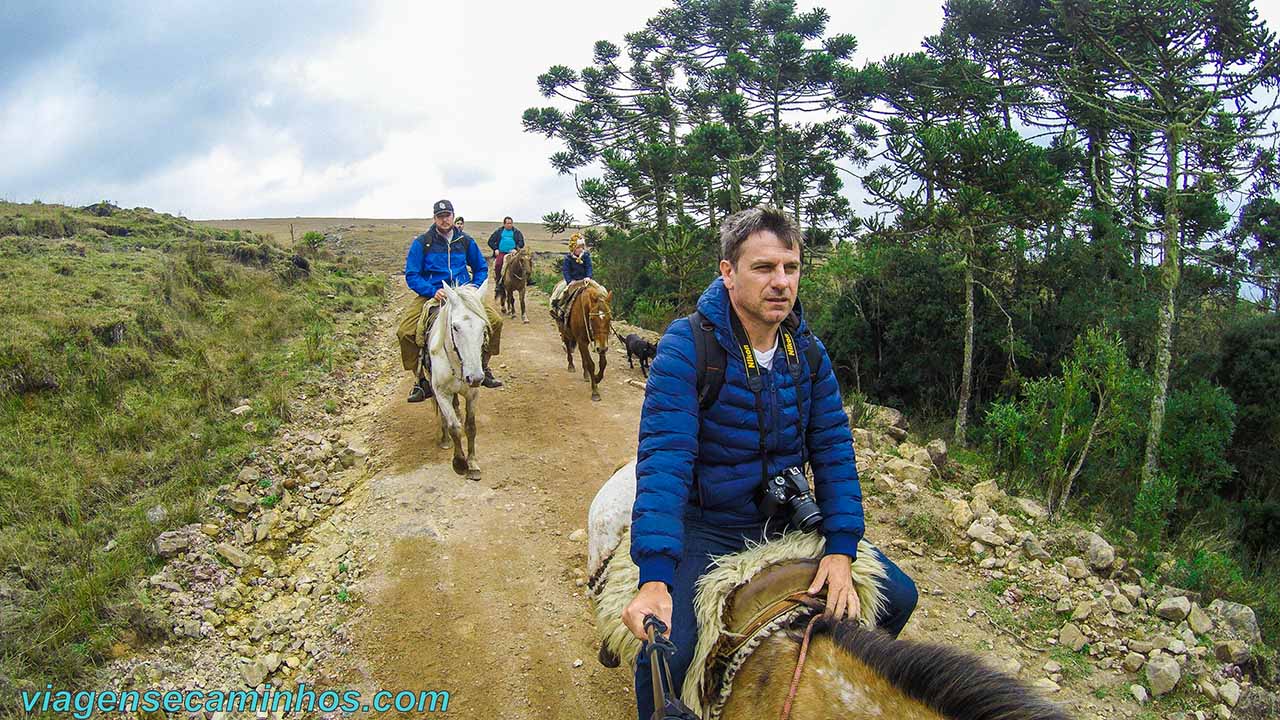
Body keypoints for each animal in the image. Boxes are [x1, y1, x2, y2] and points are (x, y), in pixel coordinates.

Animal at [430, 283, 488, 479]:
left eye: (483, 327)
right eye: (455, 327)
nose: (475, 377)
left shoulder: (473, 393)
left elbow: (471, 427)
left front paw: (472, 464)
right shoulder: (441, 392)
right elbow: (454, 426)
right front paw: (460, 462)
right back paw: (445, 439)